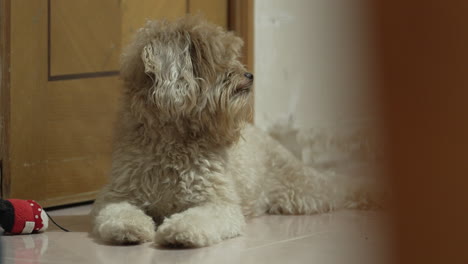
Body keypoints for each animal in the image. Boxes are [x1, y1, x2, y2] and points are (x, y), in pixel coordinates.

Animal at [90, 16, 380, 248]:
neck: (173, 140)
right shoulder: (118, 196)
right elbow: (118, 214)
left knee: (336, 183)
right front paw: (129, 229)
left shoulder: (218, 202)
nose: (249, 75)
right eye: (217, 57)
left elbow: (197, 218)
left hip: (302, 188)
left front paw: (180, 231)